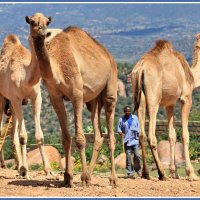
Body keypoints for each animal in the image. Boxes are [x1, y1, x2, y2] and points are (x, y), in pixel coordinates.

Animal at [0, 33, 57, 179]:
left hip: (11, 105)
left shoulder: (37, 97)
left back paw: (18, 168)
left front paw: (48, 171)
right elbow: (23, 136)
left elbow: (39, 135)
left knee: (12, 135)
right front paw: (25, 171)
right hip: (2, 98)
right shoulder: (16, 99)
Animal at [25, 12, 118, 188]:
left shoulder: (77, 94)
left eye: (47, 22)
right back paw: (90, 176)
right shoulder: (55, 96)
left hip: (110, 87)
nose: (42, 31)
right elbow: (66, 138)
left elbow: (80, 139)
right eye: (32, 21)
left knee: (110, 133)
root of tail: (108, 55)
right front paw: (68, 177)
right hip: (93, 100)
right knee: (98, 134)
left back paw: (112, 180)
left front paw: (81, 178)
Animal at [130, 39, 199, 181]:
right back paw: (162, 174)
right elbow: (185, 135)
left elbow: (172, 135)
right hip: (153, 98)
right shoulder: (186, 98)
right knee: (151, 135)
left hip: (139, 98)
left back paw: (146, 173)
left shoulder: (169, 104)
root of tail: (140, 69)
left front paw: (175, 173)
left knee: (141, 134)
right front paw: (191, 174)